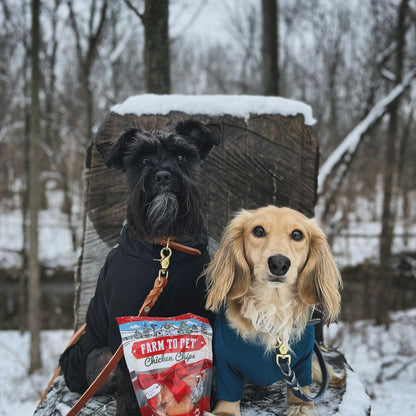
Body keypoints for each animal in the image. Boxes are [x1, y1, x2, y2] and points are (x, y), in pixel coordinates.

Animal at [59, 118, 221, 414]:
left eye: (181, 157)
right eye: (142, 160)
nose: (163, 176)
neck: (166, 244)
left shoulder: (201, 310)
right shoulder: (122, 323)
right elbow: (127, 374)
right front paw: (132, 407)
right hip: (99, 357)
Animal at [204, 206, 342, 416]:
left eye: (297, 234)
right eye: (258, 231)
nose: (279, 263)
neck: (273, 307)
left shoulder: (302, 364)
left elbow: (301, 391)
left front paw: (300, 406)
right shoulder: (225, 365)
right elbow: (228, 398)